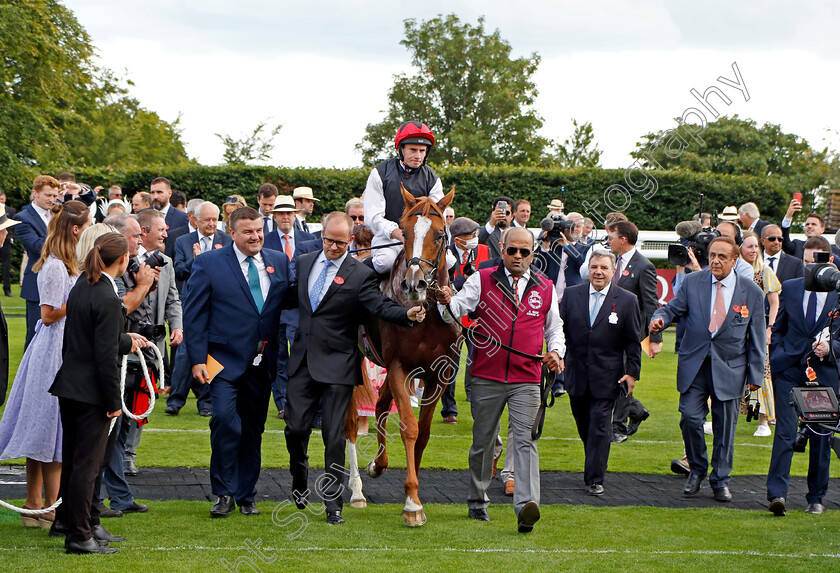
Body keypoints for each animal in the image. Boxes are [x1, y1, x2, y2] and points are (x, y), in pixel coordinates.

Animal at [348, 185, 462, 524]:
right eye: (406, 231)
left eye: (440, 234)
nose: (415, 284)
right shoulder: (400, 368)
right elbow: (409, 428)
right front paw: (412, 504)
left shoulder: (438, 375)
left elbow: (422, 432)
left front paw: (412, 491)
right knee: (350, 425)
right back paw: (357, 491)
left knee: (381, 405)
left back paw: (378, 464)